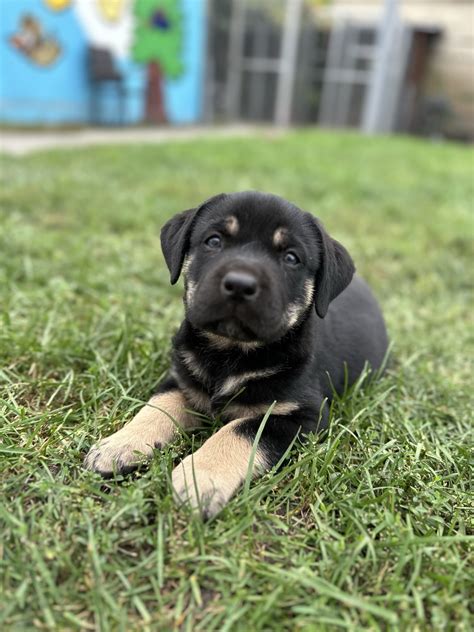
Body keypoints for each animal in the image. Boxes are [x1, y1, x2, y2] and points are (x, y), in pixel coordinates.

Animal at [85, 193, 388, 520]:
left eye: (291, 258)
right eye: (214, 241)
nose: (241, 284)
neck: (230, 351)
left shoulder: (303, 415)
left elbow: (239, 431)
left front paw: (199, 479)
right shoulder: (182, 378)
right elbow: (158, 406)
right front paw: (119, 446)